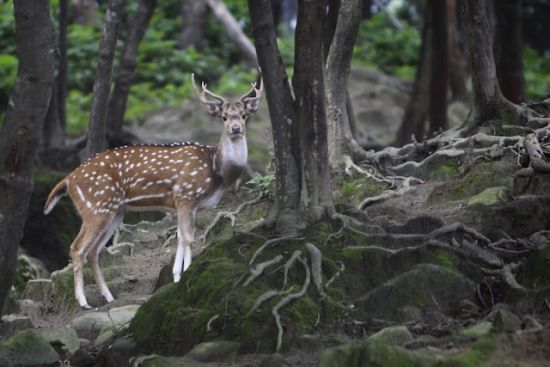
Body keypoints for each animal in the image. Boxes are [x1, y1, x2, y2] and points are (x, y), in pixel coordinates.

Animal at [44, 73, 264, 310]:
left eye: (244, 115)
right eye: (223, 117)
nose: (236, 128)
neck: (217, 171)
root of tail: (69, 179)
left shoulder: (186, 206)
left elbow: (179, 236)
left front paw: (176, 276)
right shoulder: (185, 196)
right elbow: (189, 238)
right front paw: (187, 274)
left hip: (115, 212)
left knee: (93, 251)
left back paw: (109, 297)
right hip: (96, 207)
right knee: (77, 248)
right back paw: (84, 303)